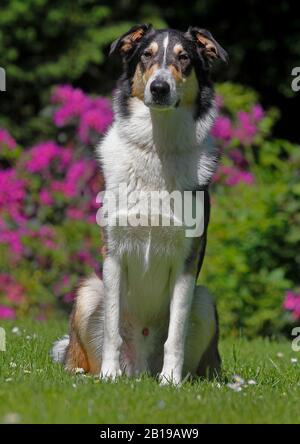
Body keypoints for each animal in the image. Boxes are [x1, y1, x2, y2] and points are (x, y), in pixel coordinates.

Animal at [52, 24, 229, 386]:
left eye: (184, 58)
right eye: (146, 55)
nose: (159, 87)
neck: (156, 147)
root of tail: (140, 370)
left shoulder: (186, 261)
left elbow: (176, 332)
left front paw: (171, 382)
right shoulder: (114, 254)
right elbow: (112, 330)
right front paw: (109, 376)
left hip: (205, 300)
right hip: (89, 291)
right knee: (76, 353)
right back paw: (89, 374)